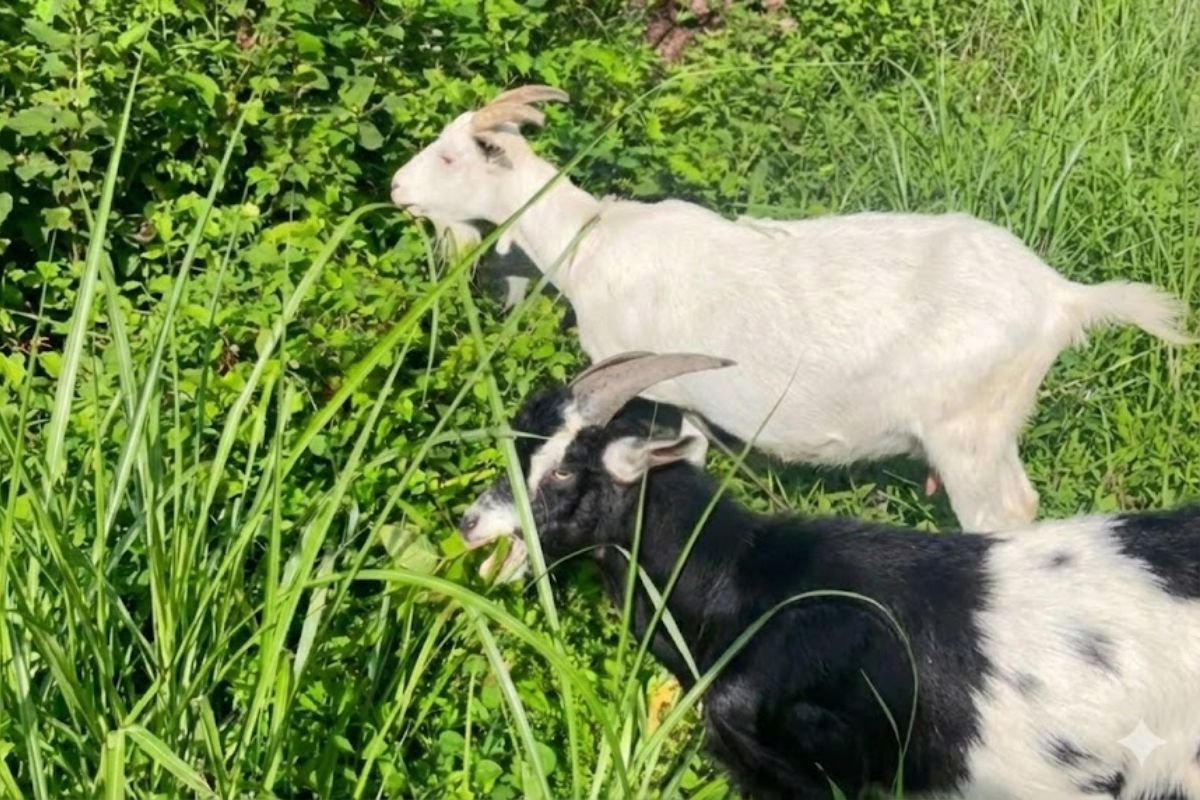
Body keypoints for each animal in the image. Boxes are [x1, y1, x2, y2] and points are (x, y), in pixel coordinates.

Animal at [391, 85, 1195, 531]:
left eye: (453, 157)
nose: (398, 188)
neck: (592, 243)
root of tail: (1061, 297)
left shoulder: (654, 382)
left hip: (970, 431)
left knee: (1005, 514)